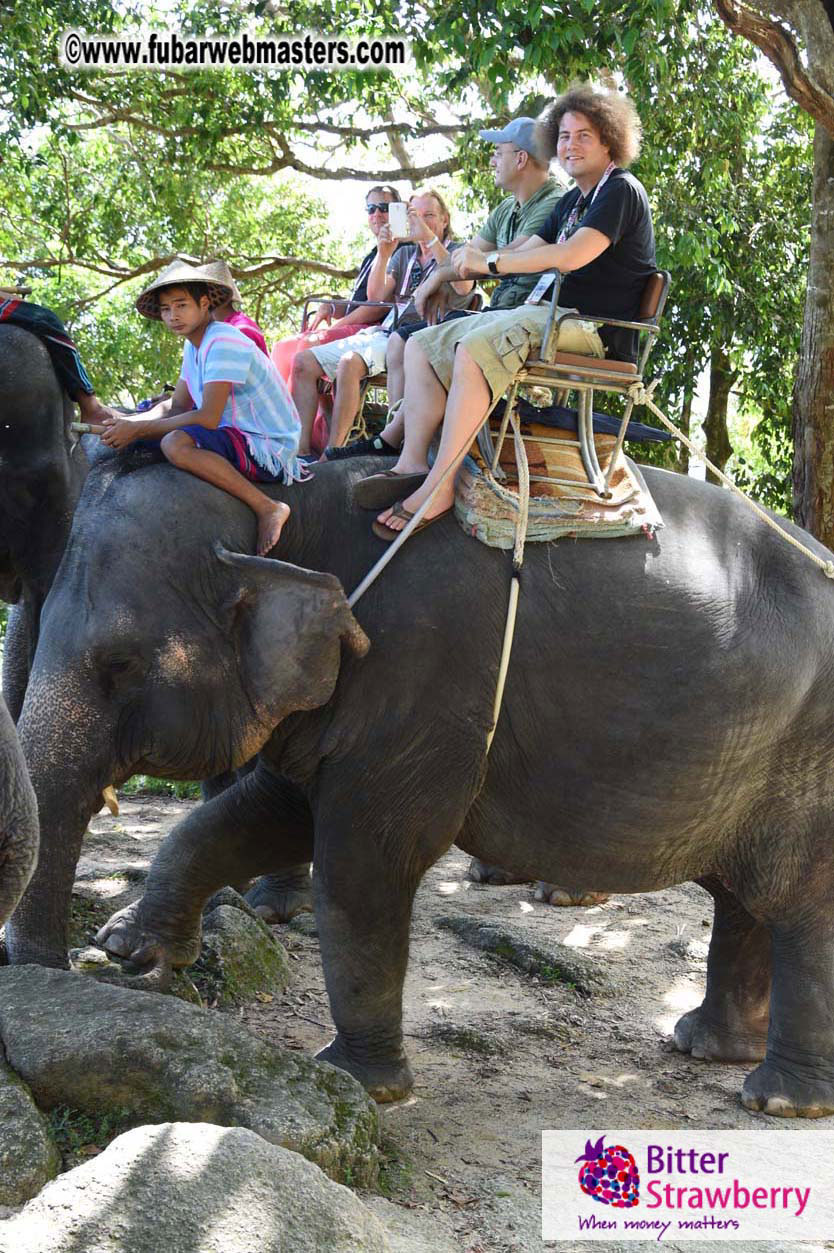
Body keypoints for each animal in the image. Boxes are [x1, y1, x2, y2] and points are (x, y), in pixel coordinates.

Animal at [11, 444, 834, 1117]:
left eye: (120, 664)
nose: (55, 969)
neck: (293, 506)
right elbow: (262, 814)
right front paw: (138, 949)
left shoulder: (421, 678)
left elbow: (364, 864)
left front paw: (358, 1083)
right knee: (744, 895)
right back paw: (706, 1047)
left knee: (798, 905)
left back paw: (779, 1099)